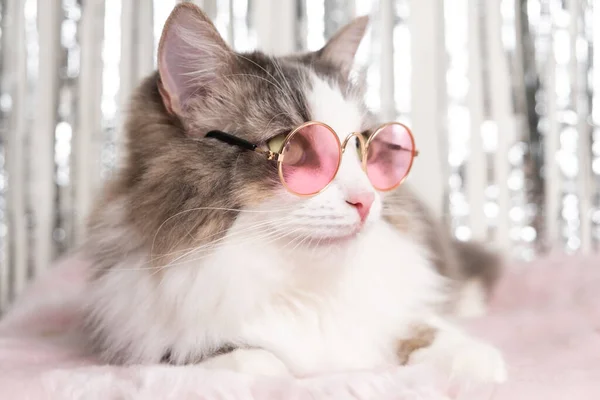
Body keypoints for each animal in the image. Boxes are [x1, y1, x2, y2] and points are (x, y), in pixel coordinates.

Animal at [82, 3, 506, 384]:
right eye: (295, 148)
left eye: (360, 146)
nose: (366, 201)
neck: (303, 291)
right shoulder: (146, 336)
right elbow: (245, 361)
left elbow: (430, 333)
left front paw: (479, 366)